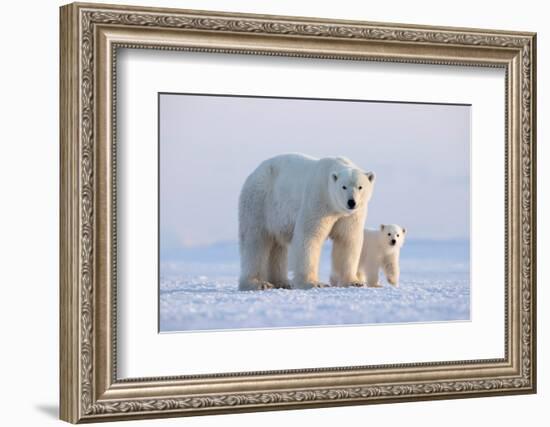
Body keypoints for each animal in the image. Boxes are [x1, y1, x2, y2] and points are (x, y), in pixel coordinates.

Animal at [239, 154, 378, 290]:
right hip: (259, 201)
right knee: (255, 241)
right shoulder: (318, 200)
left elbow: (347, 239)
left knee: (277, 246)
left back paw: (282, 282)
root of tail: (254, 173)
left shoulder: (350, 215)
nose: (351, 202)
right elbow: (309, 236)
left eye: (360, 187)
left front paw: (354, 282)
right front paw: (313, 283)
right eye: (343, 187)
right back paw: (257, 283)